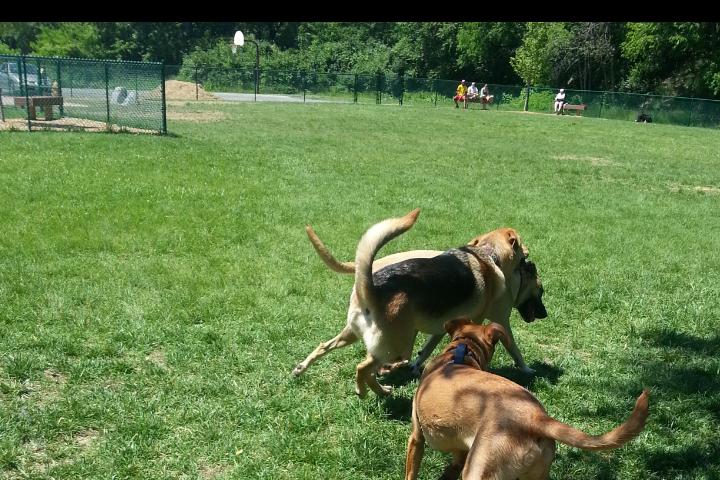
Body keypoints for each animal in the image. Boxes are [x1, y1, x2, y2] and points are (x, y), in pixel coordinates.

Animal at [292, 210, 544, 398]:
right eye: (524, 251)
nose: (531, 262)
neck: (487, 255)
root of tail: (371, 288)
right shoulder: (487, 320)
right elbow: (514, 348)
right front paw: (528, 370)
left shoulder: (442, 326)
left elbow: (428, 348)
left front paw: (417, 365)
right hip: (396, 344)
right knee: (364, 368)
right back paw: (367, 390)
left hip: (355, 334)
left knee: (327, 347)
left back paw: (304, 370)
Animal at [404, 318, 652, 480]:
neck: (462, 352)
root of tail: (536, 418)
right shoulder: (459, 454)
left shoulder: (416, 437)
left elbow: (411, 471)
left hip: (479, 472)